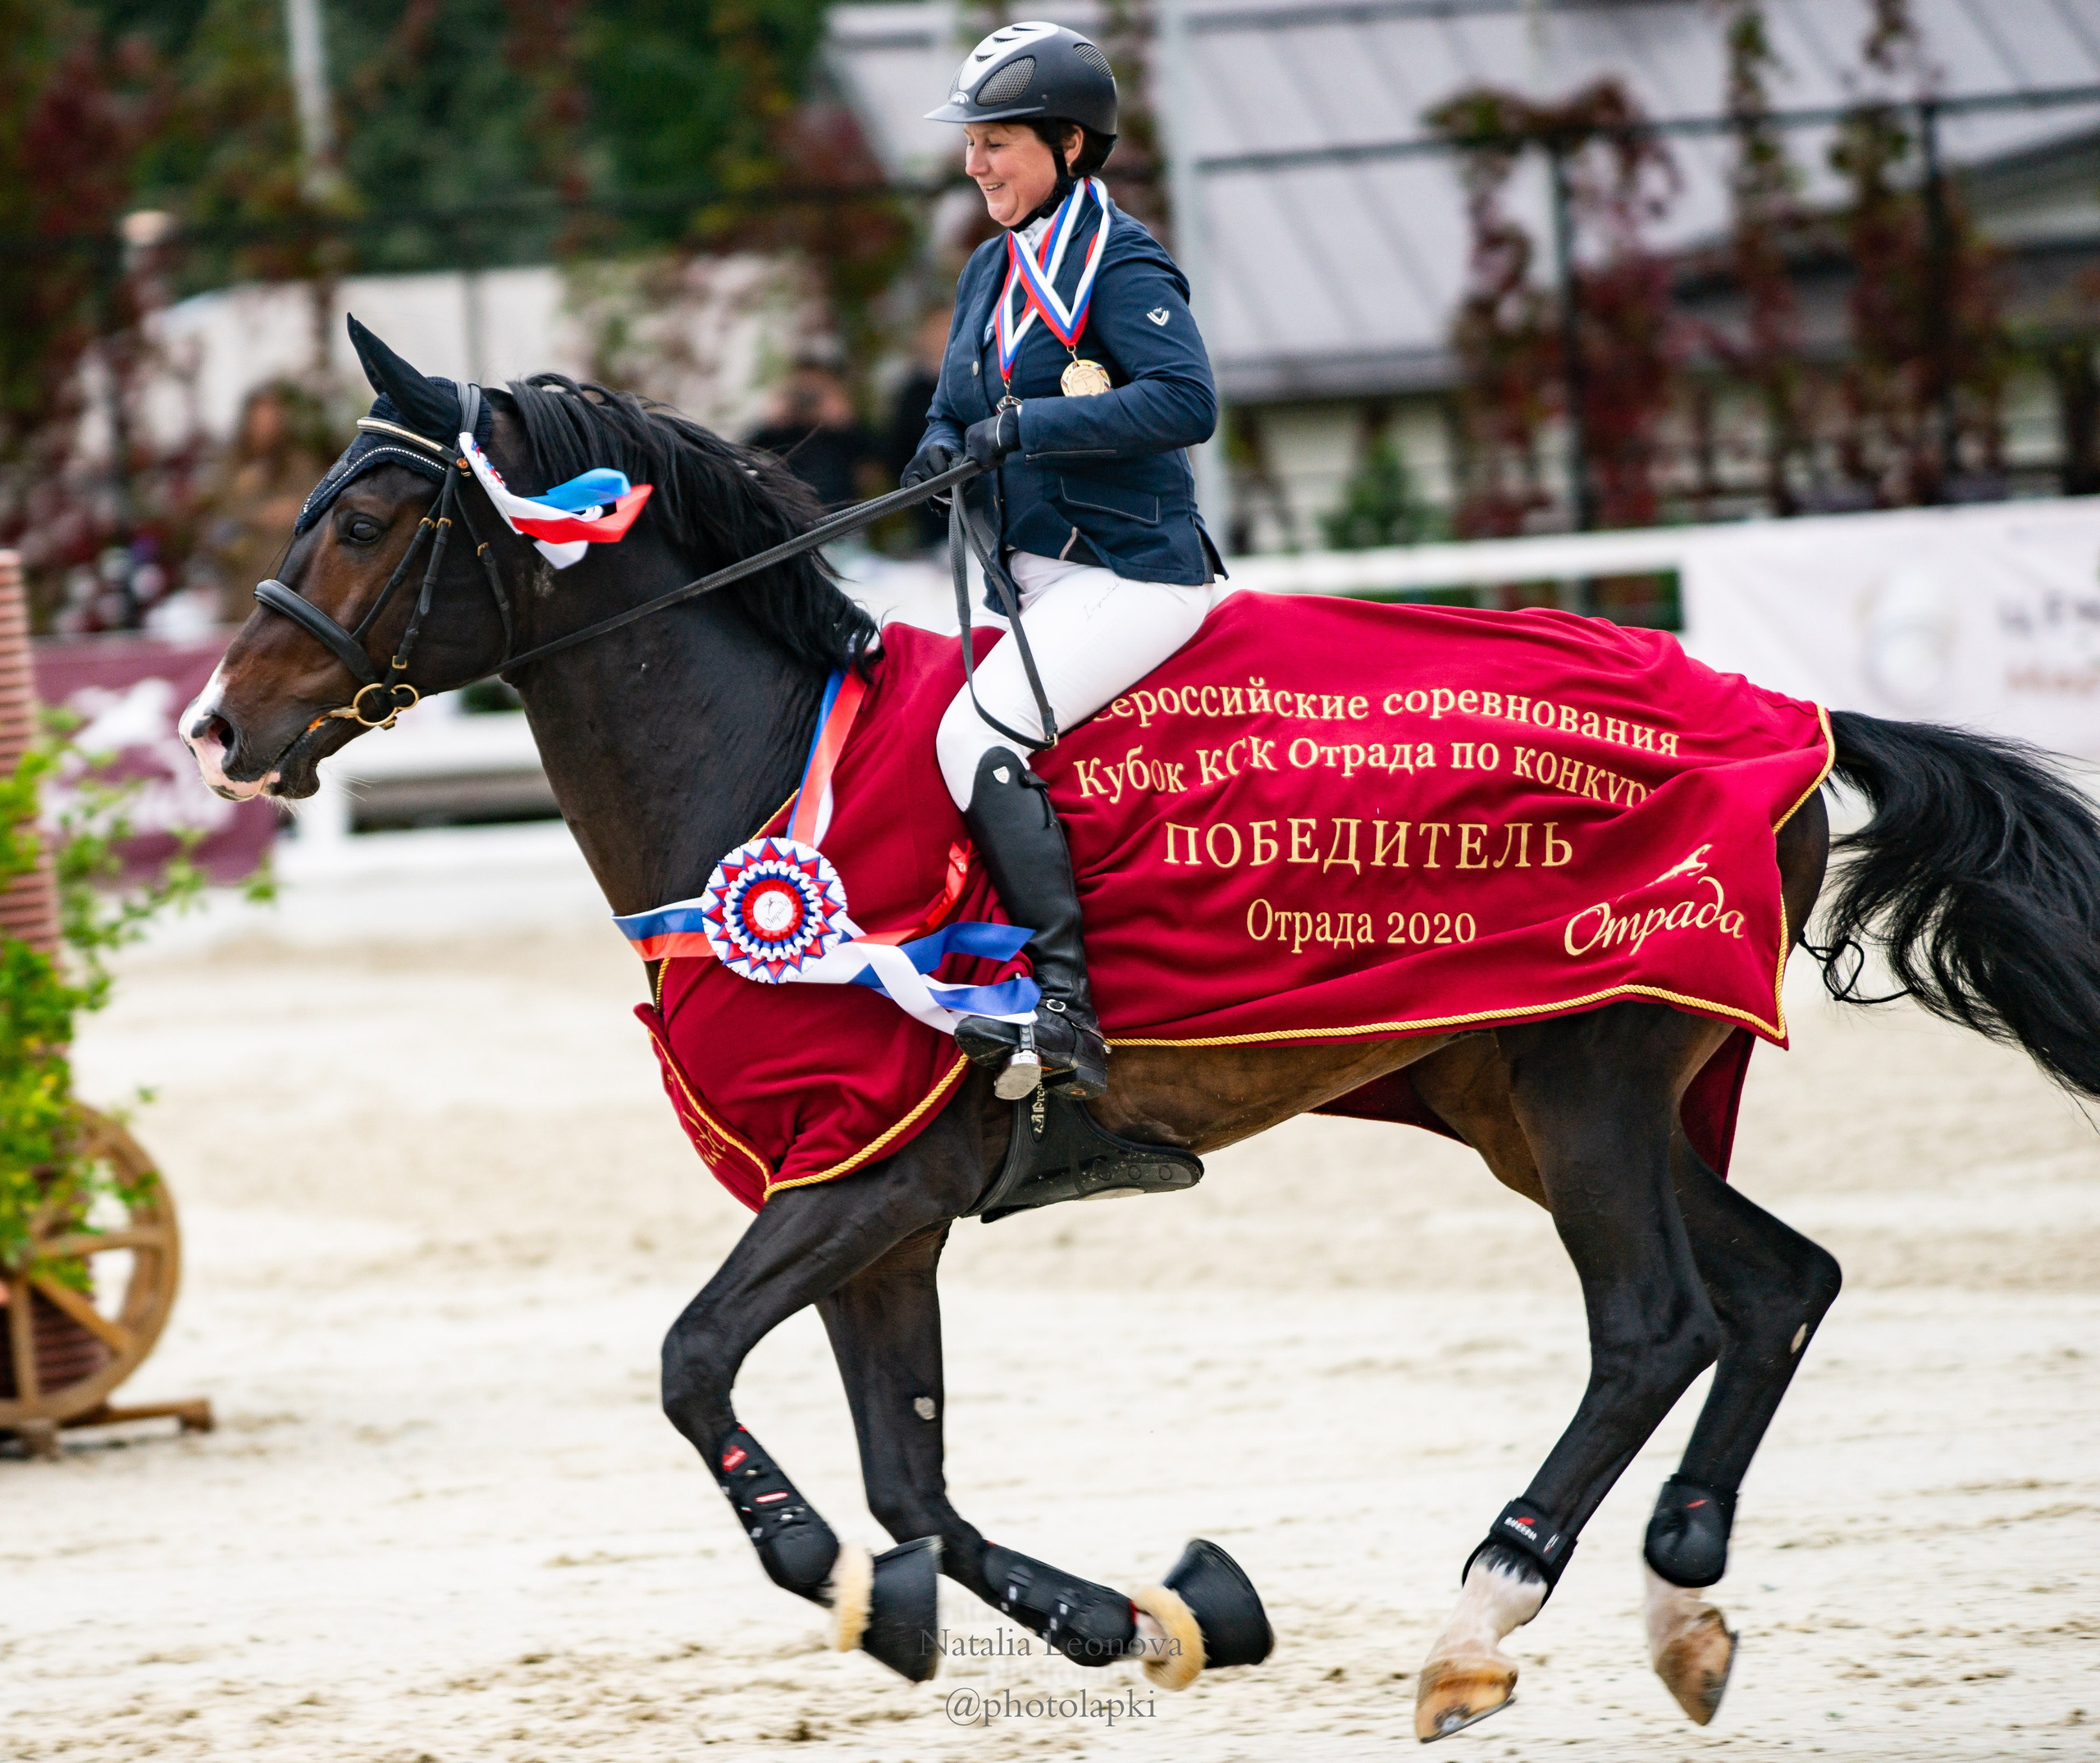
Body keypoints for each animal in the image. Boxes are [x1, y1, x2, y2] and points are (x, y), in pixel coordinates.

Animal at [182, 324, 2100, 1740]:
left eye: (369, 517)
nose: (213, 728)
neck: (761, 779)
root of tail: (1780, 708)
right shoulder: (877, 1198)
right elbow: (914, 1486)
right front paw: (1149, 1615)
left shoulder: (866, 1176)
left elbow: (694, 1366)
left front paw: (827, 1561)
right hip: (1527, 1095)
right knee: (1778, 1287)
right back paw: (1681, 1601)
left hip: (1588, 1080)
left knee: (1652, 1325)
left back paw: (1479, 1621)